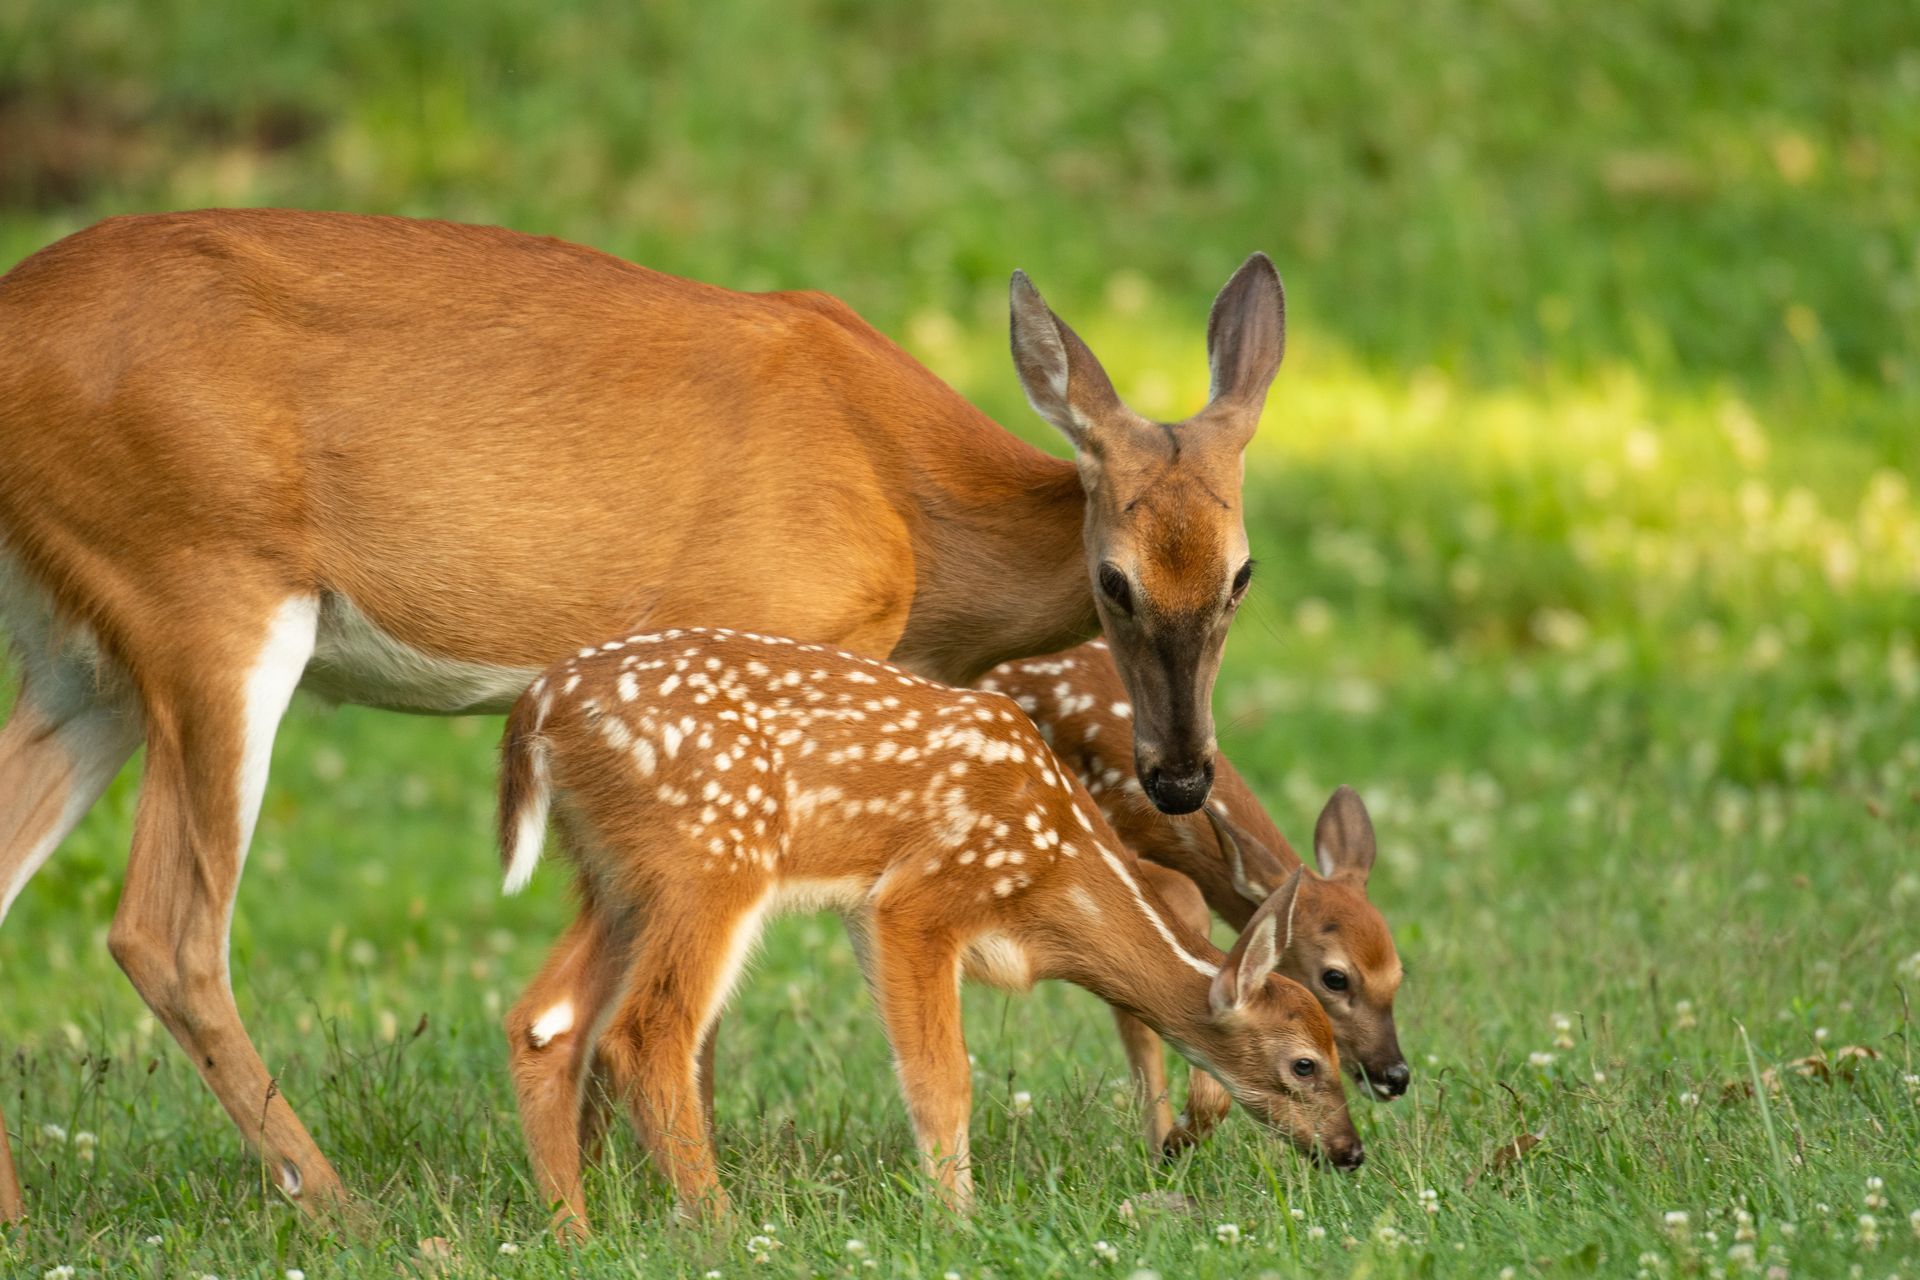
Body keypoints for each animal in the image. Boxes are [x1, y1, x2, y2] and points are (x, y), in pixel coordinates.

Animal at [499, 629, 1367, 1228]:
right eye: (1303, 1064)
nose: (1351, 1151)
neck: (1057, 874)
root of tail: (537, 712)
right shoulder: (917, 898)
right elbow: (943, 1076)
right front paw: (957, 1216)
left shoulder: (879, 914)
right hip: (709, 858)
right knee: (647, 1030)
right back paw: (723, 1229)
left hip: (613, 878)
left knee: (545, 1021)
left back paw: (575, 1233)